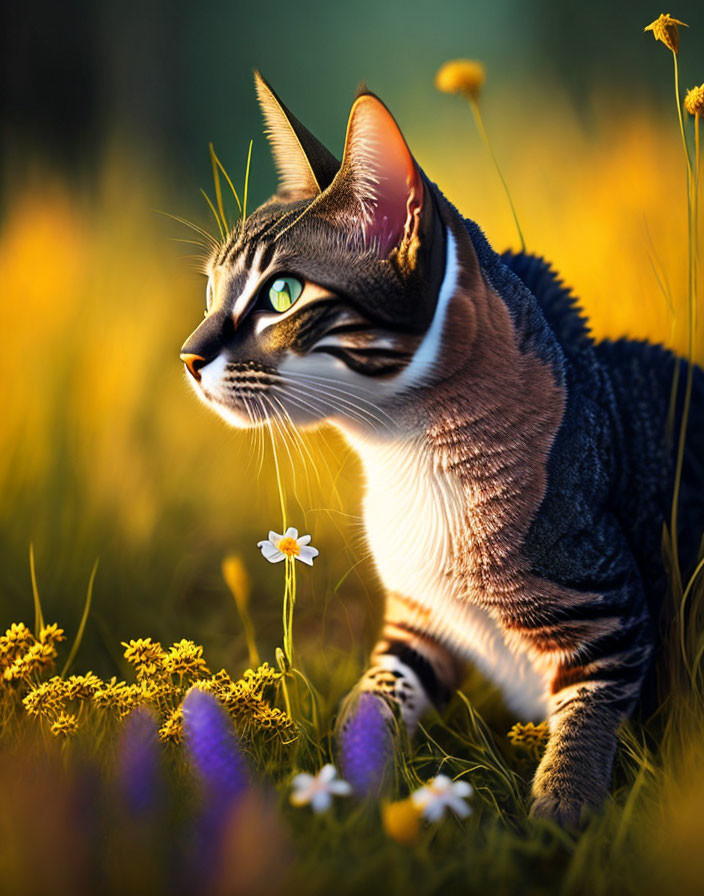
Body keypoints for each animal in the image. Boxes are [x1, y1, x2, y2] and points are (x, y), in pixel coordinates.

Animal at [182, 72, 704, 824]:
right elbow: (366, 705)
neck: (405, 460)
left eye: (281, 293)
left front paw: (555, 824)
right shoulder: (415, 625)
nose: (188, 356)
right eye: (210, 288)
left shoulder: (610, 613)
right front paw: (344, 794)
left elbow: (583, 741)